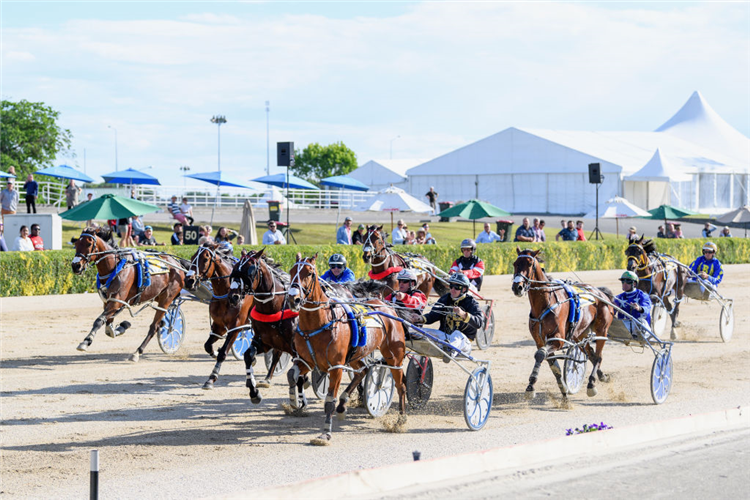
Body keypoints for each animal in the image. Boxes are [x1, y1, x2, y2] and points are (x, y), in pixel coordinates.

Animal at [71, 225, 188, 362]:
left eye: (89, 244)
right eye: (76, 243)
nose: (75, 266)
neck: (115, 267)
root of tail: (177, 263)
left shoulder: (116, 301)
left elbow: (99, 320)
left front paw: (85, 341)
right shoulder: (109, 302)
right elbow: (108, 327)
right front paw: (122, 326)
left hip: (167, 299)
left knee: (154, 327)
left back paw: (137, 352)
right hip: (157, 296)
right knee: (160, 324)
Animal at [185, 242, 256, 390]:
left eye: (205, 259)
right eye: (192, 257)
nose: (189, 280)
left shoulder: (236, 326)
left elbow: (224, 353)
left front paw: (211, 378)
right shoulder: (219, 326)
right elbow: (207, 346)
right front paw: (215, 352)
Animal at [229, 248, 300, 404]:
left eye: (249, 270)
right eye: (235, 268)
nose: (233, 296)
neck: (274, 307)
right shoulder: (264, 341)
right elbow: (248, 356)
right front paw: (254, 392)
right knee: (277, 355)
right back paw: (267, 379)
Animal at [286, 254, 406, 446]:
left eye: (310, 273)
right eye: (291, 271)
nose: (294, 299)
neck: (319, 323)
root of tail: (387, 307)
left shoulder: (336, 367)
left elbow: (329, 401)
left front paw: (325, 434)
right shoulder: (307, 361)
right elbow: (292, 375)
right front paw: (294, 402)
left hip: (394, 356)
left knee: (400, 385)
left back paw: (400, 420)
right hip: (357, 354)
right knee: (363, 370)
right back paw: (343, 404)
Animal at [512, 248, 616, 400]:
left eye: (530, 264)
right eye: (514, 263)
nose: (517, 287)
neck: (546, 303)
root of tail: (601, 293)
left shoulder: (558, 339)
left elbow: (540, 355)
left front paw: (530, 386)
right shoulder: (540, 341)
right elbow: (553, 365)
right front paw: (564, 392)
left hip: (602, 329)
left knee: (598, 357)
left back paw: (591, 384)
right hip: (580, 334)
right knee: (591, 354)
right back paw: (602, 376)